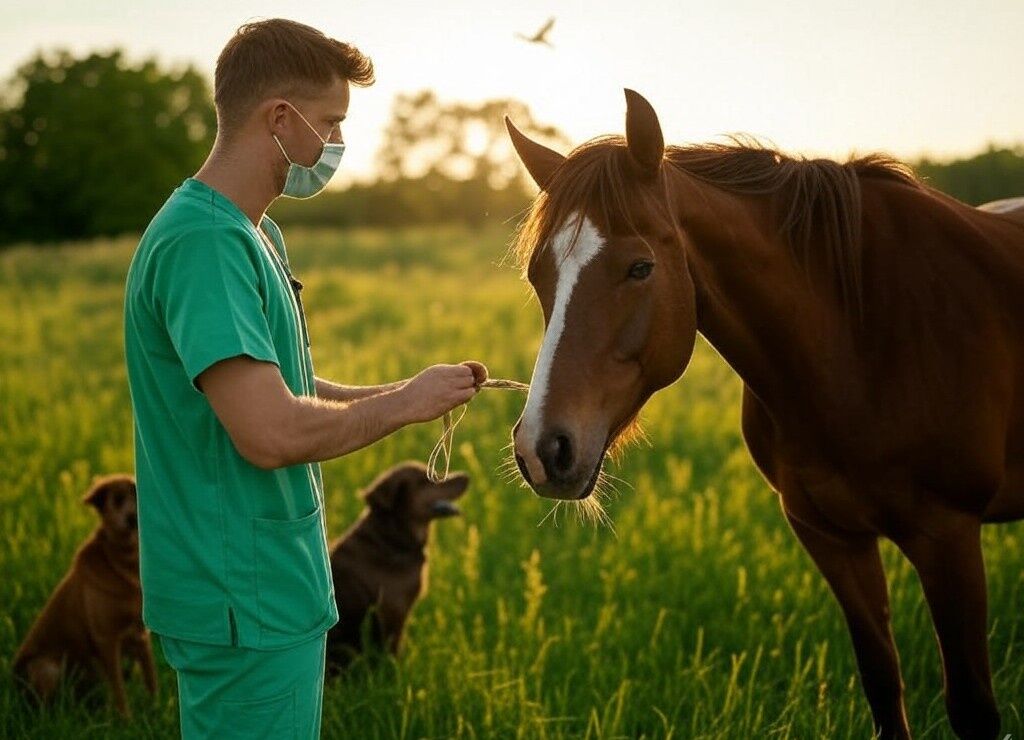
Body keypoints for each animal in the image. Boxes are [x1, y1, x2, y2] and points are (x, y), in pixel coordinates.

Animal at [12, 476, 156, 716]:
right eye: (117, 499)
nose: (132, 518)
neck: (124, 563)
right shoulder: (106, 640)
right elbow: (120, 692)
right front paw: (127, 720)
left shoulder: (140, 637)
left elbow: (152, 682)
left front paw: (156, 709)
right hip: (47, 668)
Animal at [505, 89, 1024, 736]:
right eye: (538, 274)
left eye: (640, 267)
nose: (542, 448)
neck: (858, 341)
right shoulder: (831, 537)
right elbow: (884, 686)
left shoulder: (948, 535)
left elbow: (973, 707)